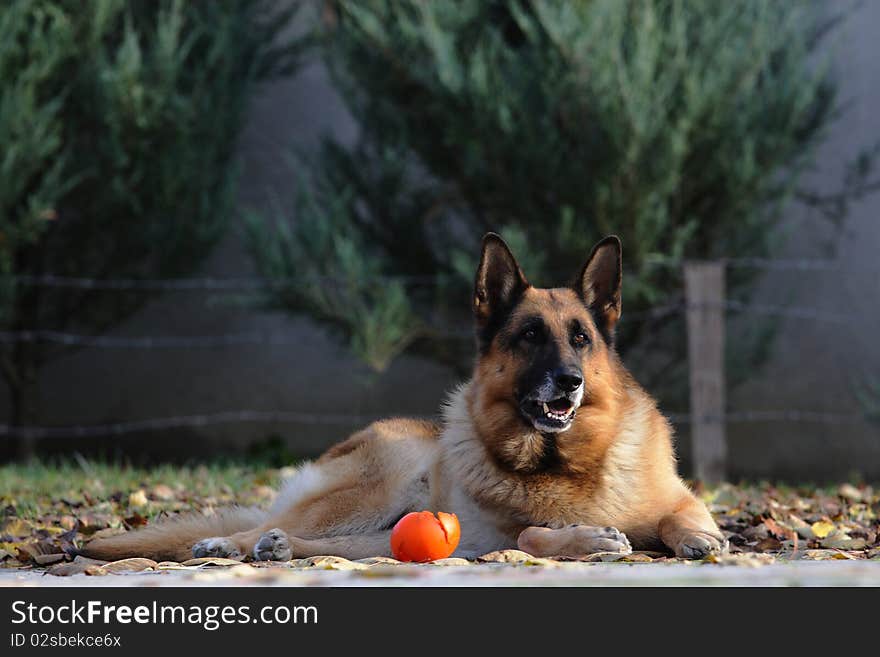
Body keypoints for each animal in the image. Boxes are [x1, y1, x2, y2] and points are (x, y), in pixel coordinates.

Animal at [82, 233, 724, 560]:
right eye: (529, 336)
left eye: (581, 339)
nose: (569, 381)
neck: (567, 465)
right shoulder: (488, 539)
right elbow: (529, 533)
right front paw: (589, 539)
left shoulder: (682, 497)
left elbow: (681, 516)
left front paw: (697, 538)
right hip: (380, 488)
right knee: (269, 527)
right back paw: (231, 543)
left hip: (382, 529)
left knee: (329, 543)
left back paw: (279, 547)